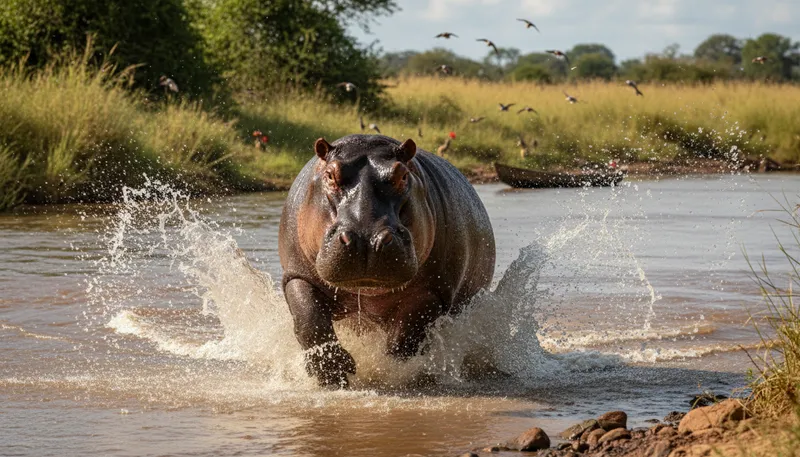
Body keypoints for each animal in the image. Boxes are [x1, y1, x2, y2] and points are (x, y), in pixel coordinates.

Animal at [279, 134, 495, 387]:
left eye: (403, 175)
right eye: (330, 175)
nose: (366, 239)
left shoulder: (433, 290)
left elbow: (406, 333)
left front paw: (384, 367)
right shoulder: (297, 274)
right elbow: (308, 319)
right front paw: (332, 371)